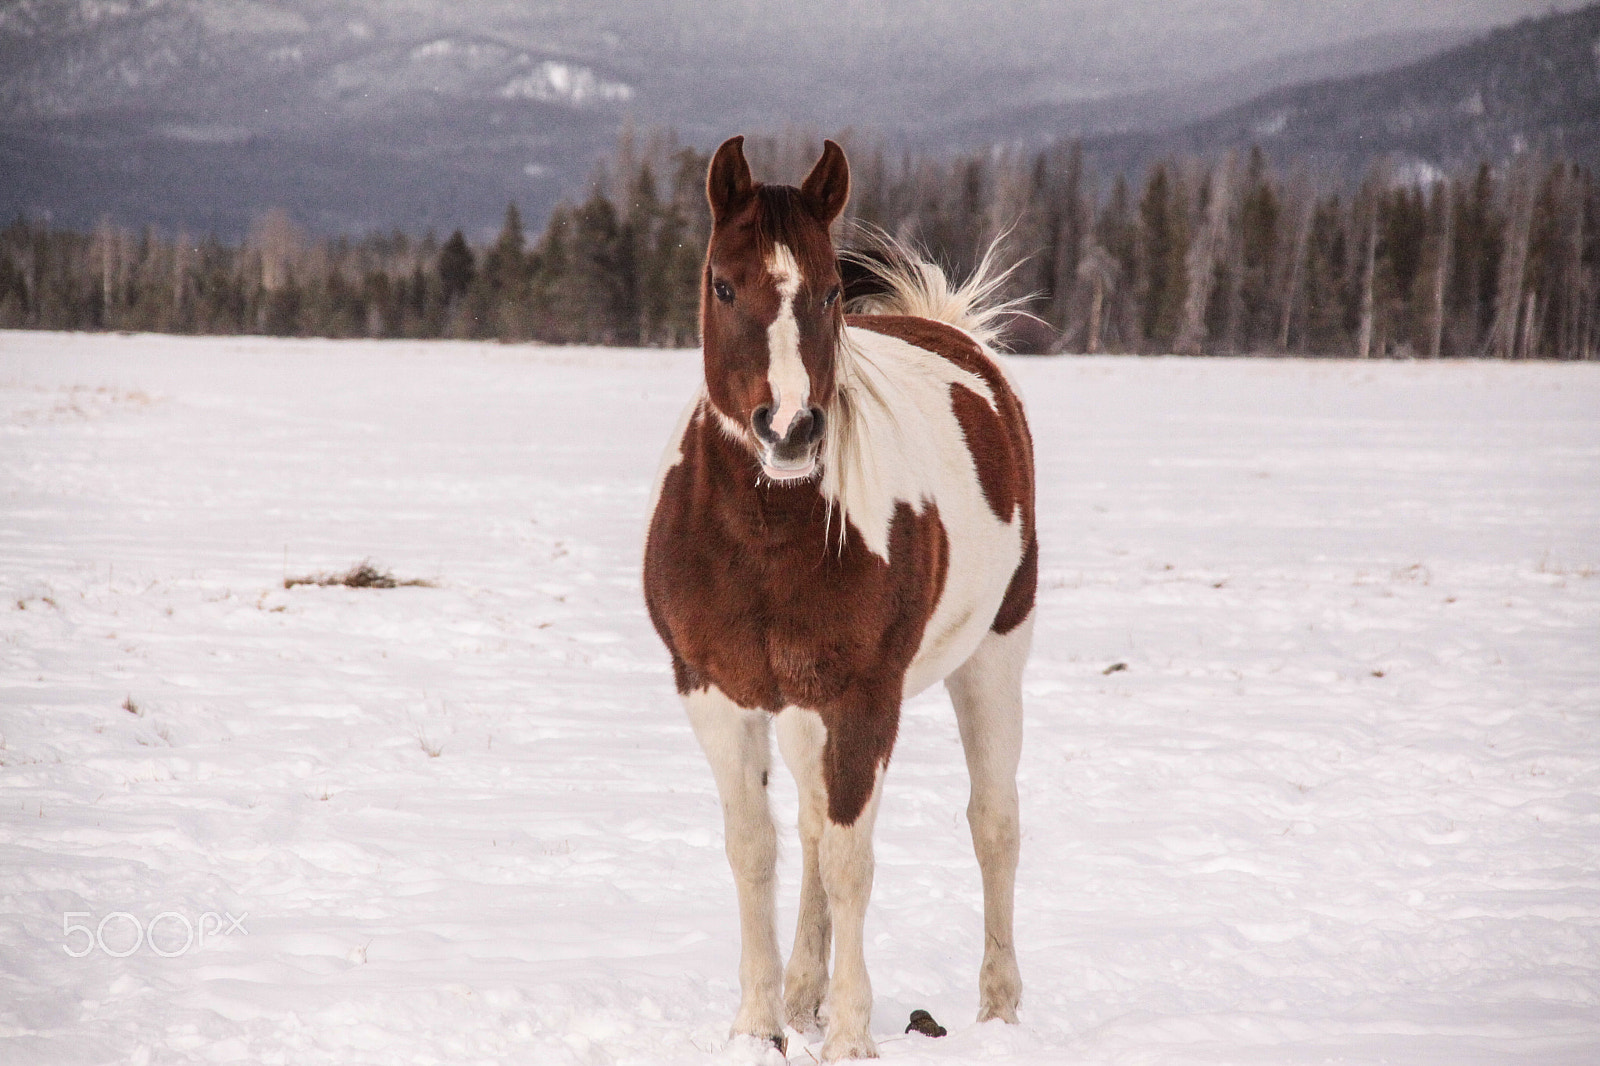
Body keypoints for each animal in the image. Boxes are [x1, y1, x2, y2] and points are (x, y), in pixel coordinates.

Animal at [643, 136, 1036, 1061]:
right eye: (723, 283)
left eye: (828, 289)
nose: (789, 429)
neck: (764, 539)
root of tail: (953, 332)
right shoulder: (719, 693)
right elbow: (757, 848)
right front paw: (759, 1025)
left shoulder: (863, 700)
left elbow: (853, 861)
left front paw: (851, 1035)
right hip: (800, 709)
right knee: (814, 828)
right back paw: (801, 994)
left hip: (995, 655)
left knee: (993, 824)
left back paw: (1000, 1008)